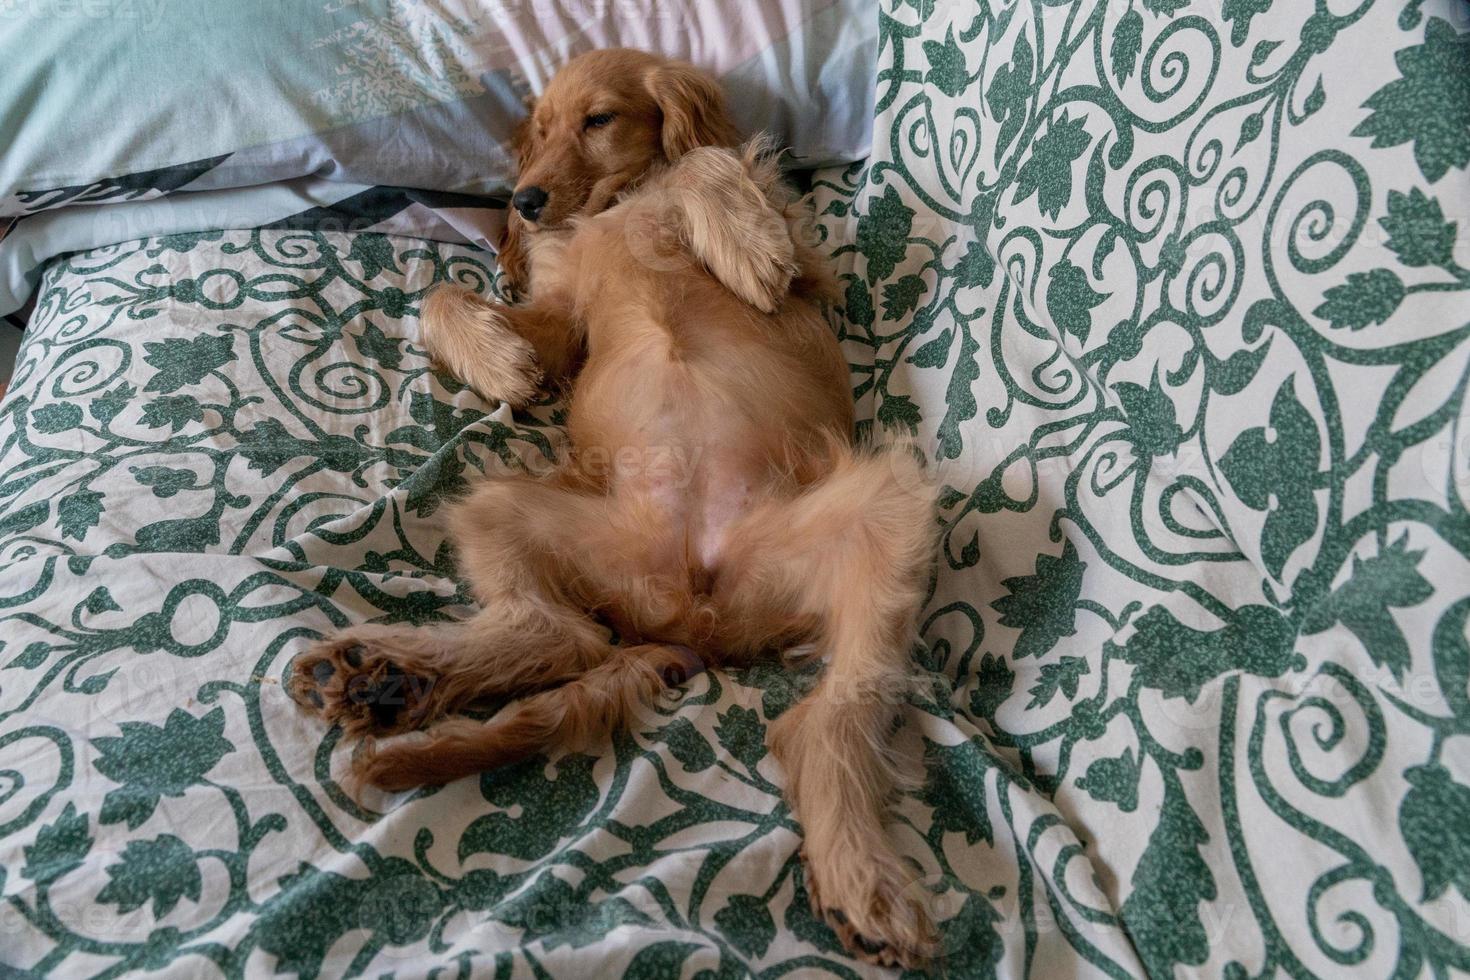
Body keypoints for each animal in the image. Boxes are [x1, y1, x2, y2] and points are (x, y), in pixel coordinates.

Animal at [291, 47, 934, 963]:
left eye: (598, 120)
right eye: (539, 131)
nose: (524, 200)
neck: (619, 206)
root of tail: (694, 619)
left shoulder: (813, 272)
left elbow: (706, 166)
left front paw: (744, 248)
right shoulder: (566, 319)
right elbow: (444, 301)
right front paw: (500, 363)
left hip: (890, 503)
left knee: (828, 717)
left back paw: (861, 880)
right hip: (503, 507)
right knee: (557, 634)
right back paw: (385, 680)